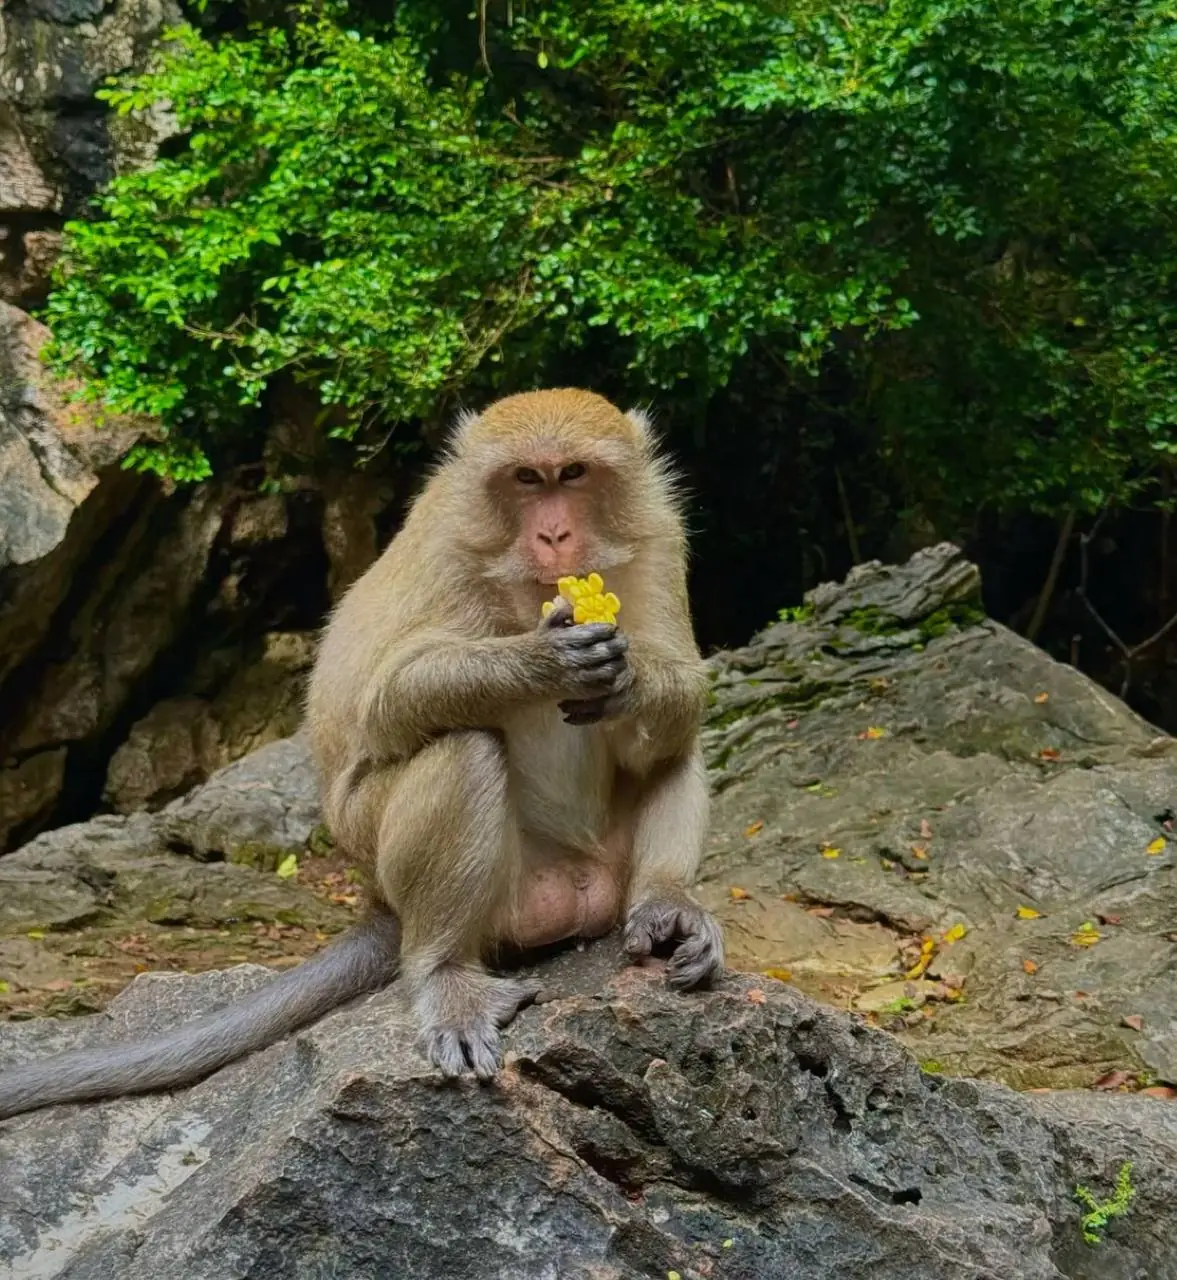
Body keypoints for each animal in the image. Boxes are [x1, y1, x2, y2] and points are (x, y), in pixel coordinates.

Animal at [0, 388, 723, 1119]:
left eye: (573, 474)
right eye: (526, 479)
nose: (553, 536)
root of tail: (378, 899)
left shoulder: (660, 536)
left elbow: (684, 688)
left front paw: (628, 682)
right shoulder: (449, 548)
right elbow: (389, 699)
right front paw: (543, 660)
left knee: (674, 743)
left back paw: (665, 907)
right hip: (420, 863)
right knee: (463, 746)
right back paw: (443, 975)